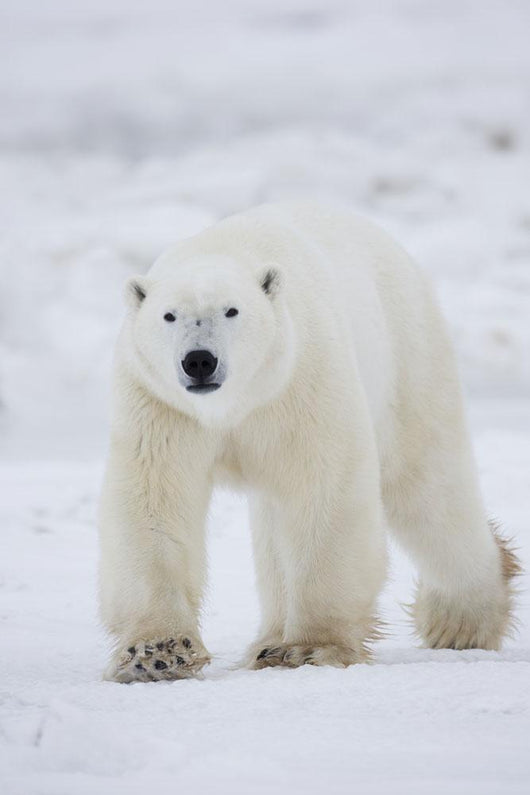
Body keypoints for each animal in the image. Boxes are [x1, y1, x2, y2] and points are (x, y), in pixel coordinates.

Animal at [98, 201, 520, 683]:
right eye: (169, 315)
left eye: (232, 311)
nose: (199, 361)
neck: (234, 404)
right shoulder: (161, 405)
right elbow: (154, 503)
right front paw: (156, 654)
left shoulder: (301, 381)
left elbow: (323, 490)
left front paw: (308, 648)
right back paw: (267, 643)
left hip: (407, 356)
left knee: (428, 489)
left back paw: (460, 621)